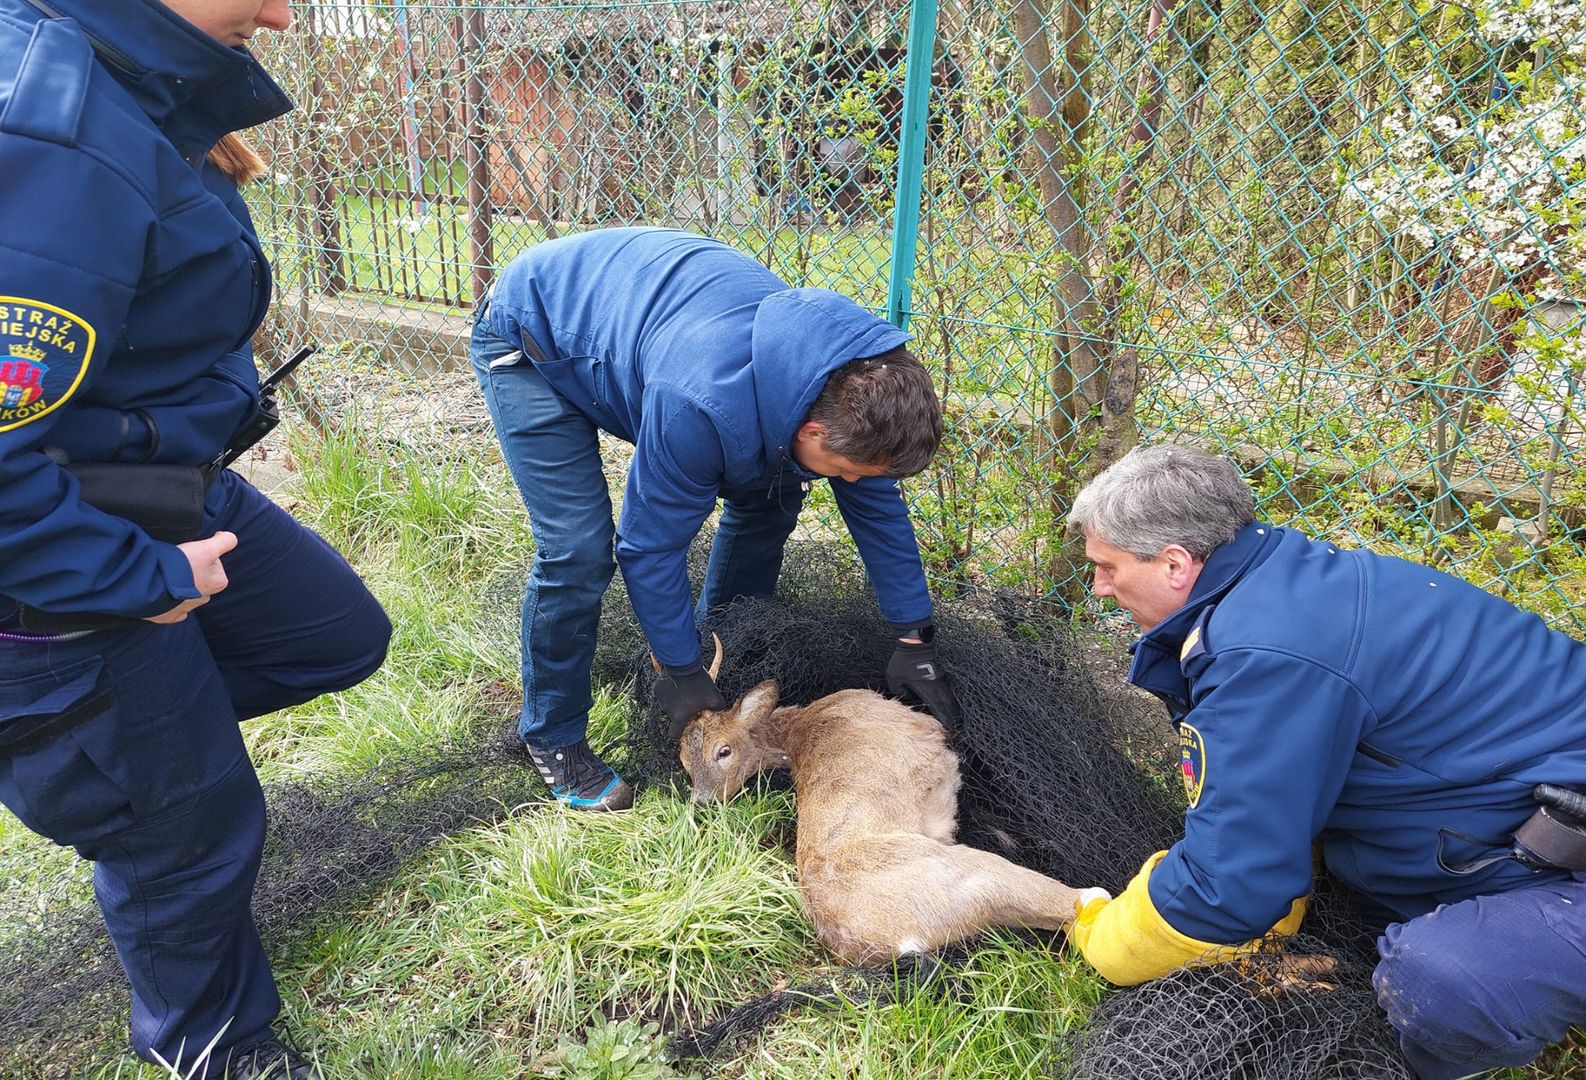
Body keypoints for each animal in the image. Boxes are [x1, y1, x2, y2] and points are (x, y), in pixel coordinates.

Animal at [675, 678, 1097, 964]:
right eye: (686, 763)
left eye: (722, 751)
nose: (700, 802)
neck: (799, 726)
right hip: (966, 872)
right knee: (1076, 902)